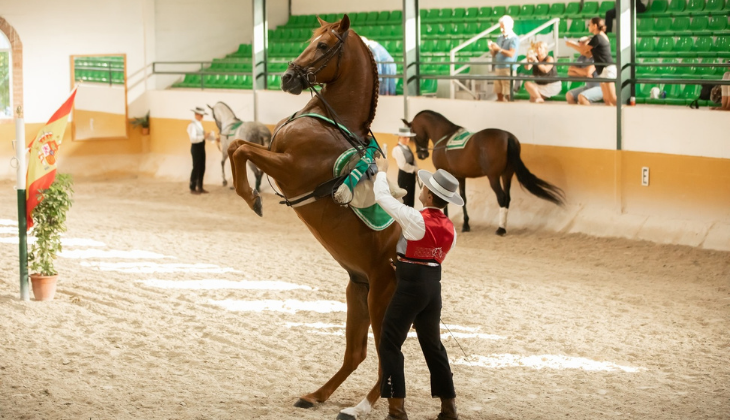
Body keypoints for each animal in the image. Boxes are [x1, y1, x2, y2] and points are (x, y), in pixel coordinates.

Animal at [228, 14, 398, 418]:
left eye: (323, 45)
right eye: (308, 38)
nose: (288, 77)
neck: (327, 122)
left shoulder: (290, 168)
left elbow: (240, 148)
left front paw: (250, 197)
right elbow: (236, 145)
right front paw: (249, 195)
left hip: (381, 296)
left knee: (385, 356)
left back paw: (359, 407)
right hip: (358, 291)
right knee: (356, 353)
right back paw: (316, 395)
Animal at [404, 110, 564, 236]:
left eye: (413, 134)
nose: (421, 155)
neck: (444, 135)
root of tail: (508, 137)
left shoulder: (445, 173)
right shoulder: (460, 176)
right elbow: (463, 197)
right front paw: (466, 225)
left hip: (493, 177)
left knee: (501, 197)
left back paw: (500, 229)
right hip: (507, 175)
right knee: (508, 198)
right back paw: (503, 226)